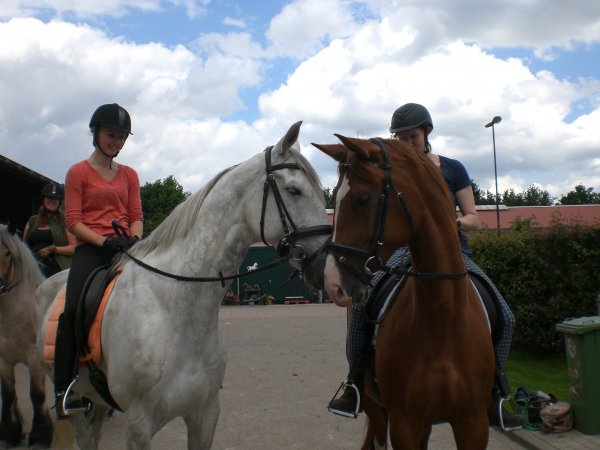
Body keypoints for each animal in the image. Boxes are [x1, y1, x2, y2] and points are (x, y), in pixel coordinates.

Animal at [35, 121, 330, 448]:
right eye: (294, 190)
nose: (327, 264)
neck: (178, 314)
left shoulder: (205, 414)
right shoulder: (139, 425)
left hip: (96, 402)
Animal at [314, 136, 492, 450]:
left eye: (362, 198)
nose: (333, 283)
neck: (442, 317)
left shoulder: (473, 424)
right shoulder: (405, 423)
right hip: (375, 405)